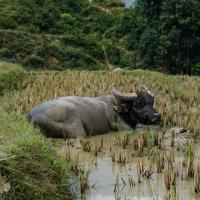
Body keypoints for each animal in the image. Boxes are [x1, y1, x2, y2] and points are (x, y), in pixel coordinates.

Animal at [27, 87, 161, 138]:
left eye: (151, 102)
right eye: (138, 103)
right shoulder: (122, 127)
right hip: (77, 130)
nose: (157, 116)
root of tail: (31, 115)